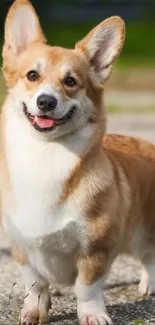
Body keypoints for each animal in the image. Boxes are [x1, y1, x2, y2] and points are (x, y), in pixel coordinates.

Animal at [0, 0, 155, 322]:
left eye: (70, 81)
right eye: (32, 75)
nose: (46, 101)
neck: (46, 154)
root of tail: (148, 143)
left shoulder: (96, 249)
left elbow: (87, 287)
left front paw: (93, 315)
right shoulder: (21, 248)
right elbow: (35, 284)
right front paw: (34, 311)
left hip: (144, 231)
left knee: (149, 256)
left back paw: (149, 284)